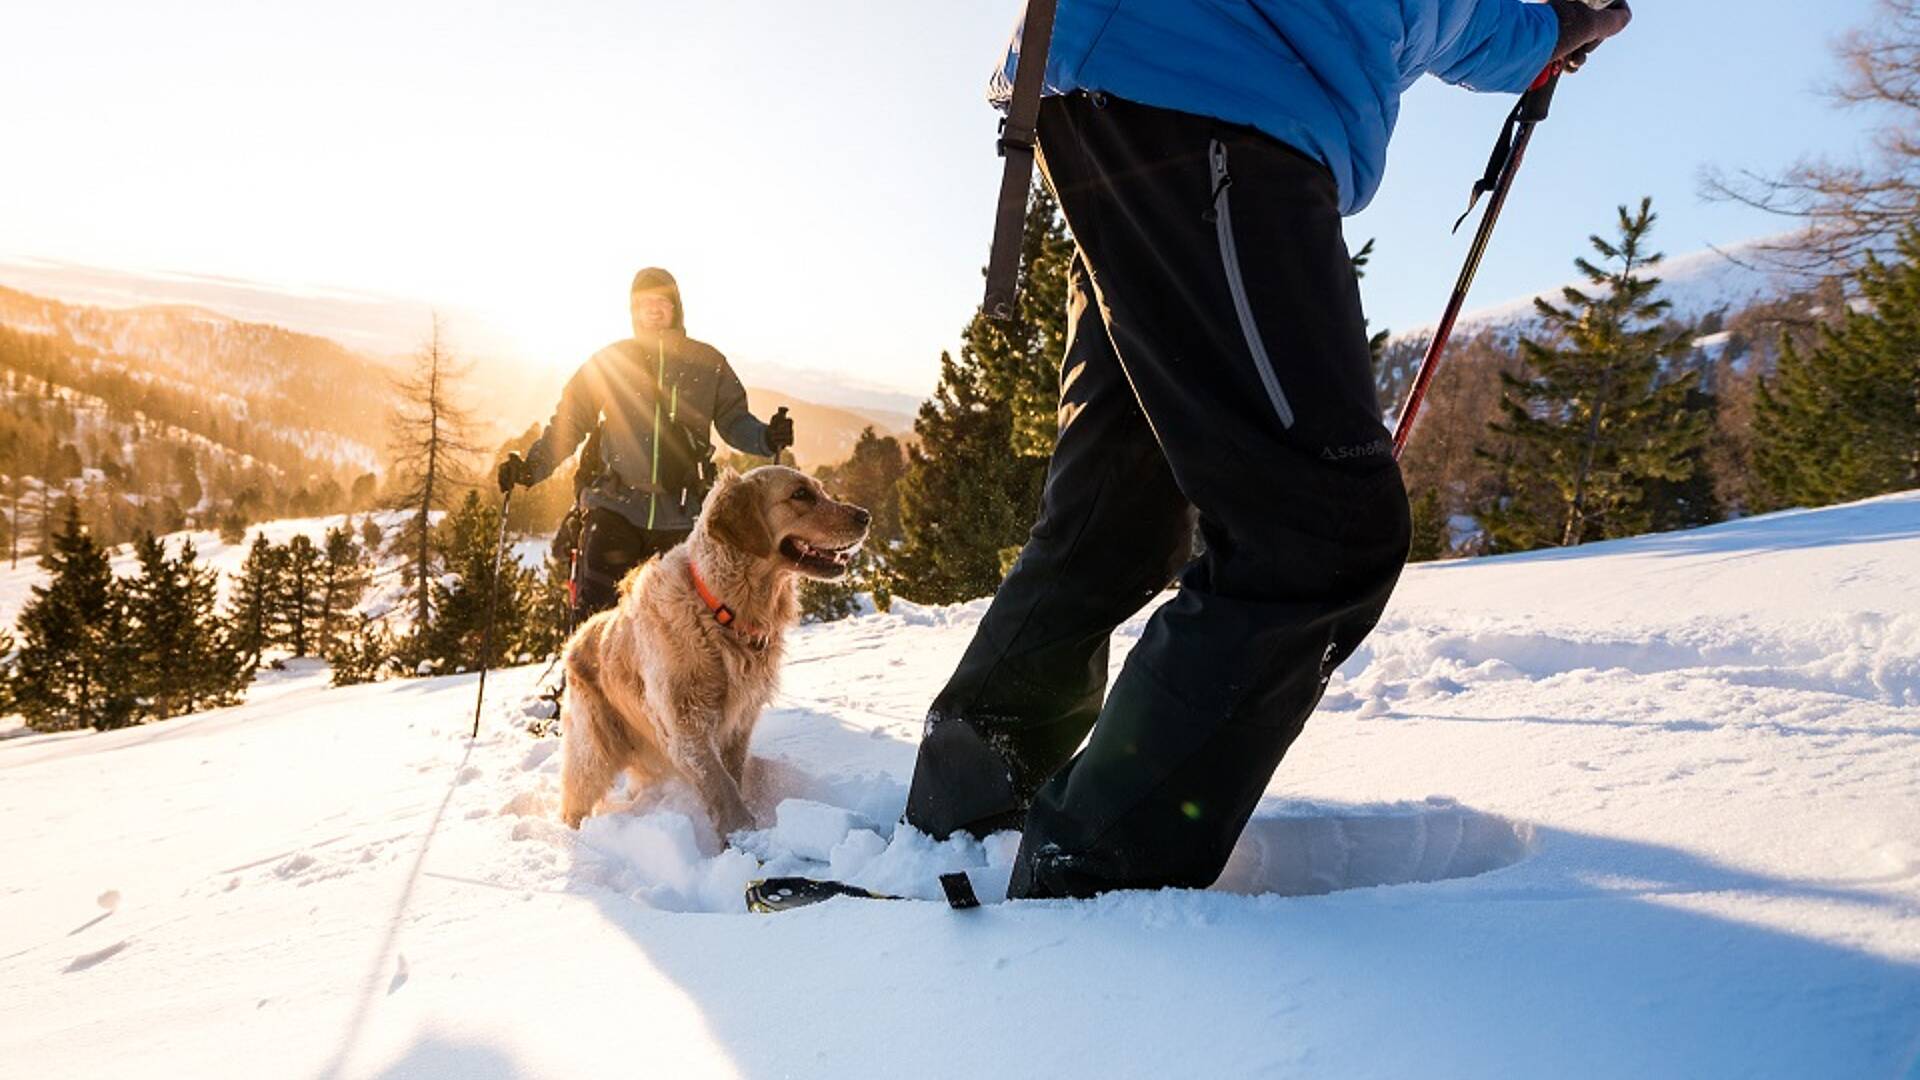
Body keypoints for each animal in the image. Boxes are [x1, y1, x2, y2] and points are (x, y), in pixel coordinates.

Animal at [560, 465, 871, 834]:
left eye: (820, 490)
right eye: (800, 494)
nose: (865, 516)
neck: (722, 613)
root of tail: (579, 634)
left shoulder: (739, 723)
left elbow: (732, 776)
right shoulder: (685, 725)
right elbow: (720, 784)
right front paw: (742, 834)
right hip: (593, 750)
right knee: (574, 800)